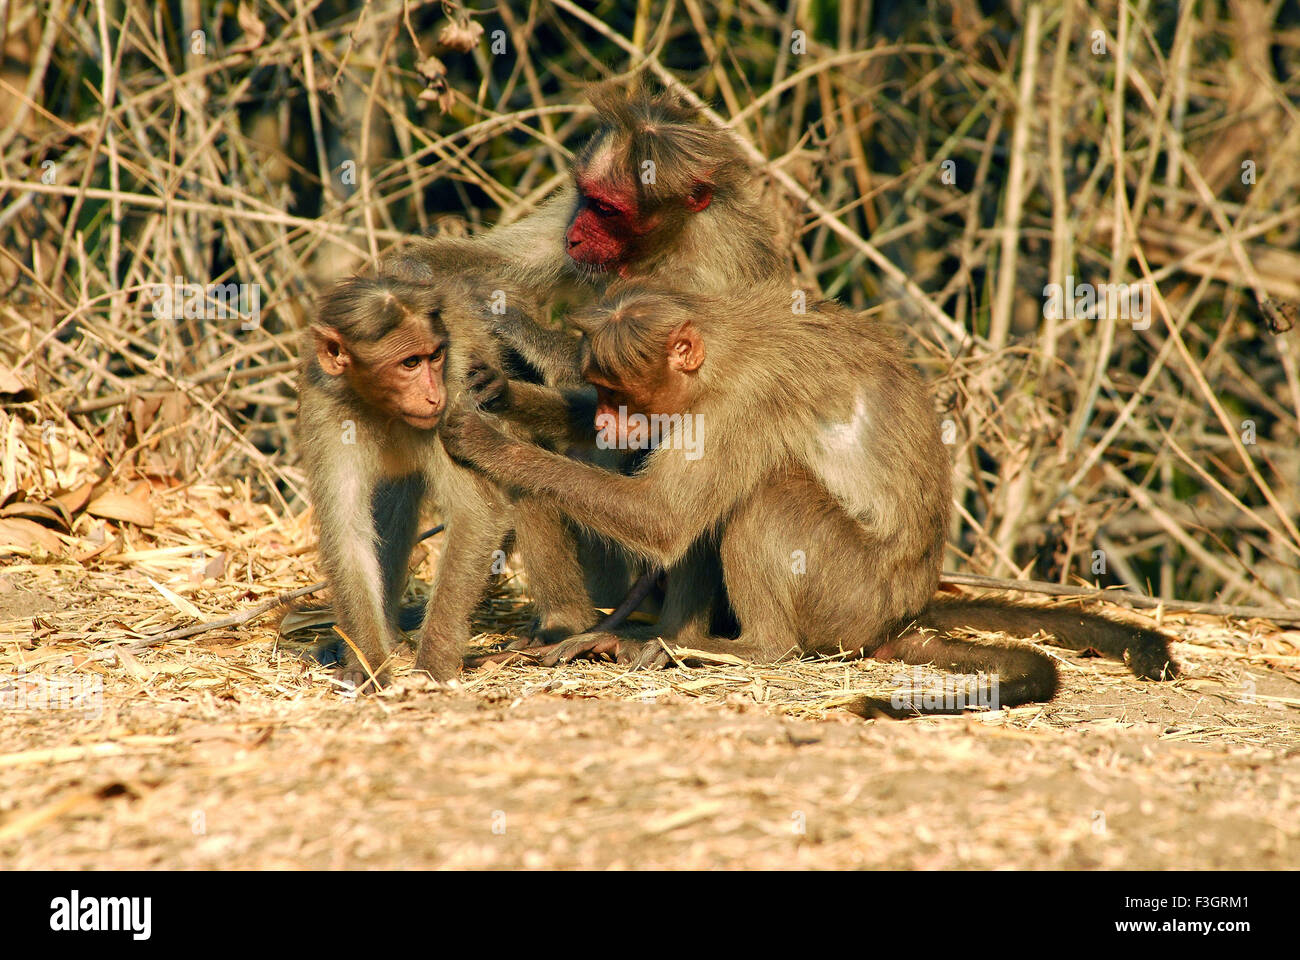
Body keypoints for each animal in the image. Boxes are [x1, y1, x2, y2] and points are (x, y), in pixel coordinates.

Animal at [441, 280, 1185, 712]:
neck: (720, 350)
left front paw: (494, 444)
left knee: (761, 494)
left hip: (849, 594)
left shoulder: (744, 399)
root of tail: (901, 613)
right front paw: (503, 395)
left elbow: (665, 518)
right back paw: (668, 637)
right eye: (600, 392)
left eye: (620, 391)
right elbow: (672, 515)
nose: (609, 418)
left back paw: (751, 650)